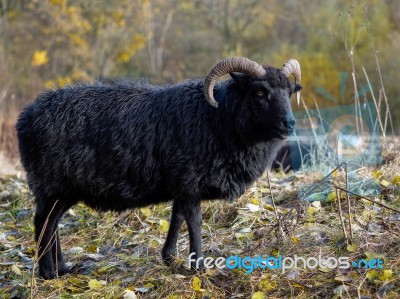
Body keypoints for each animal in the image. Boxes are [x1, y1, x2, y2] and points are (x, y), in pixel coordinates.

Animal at [16, 57, 304, 280]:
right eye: (259, 92)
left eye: (290, 91)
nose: (290, 124)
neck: (217, 118)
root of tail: (25, 117)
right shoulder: (189, 182)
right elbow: (194, 222)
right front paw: (197, 266)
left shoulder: (181, 185)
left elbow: (176, 218)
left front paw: (170, 258)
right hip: (51, 184)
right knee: (43, 223)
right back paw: (48, 273)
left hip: (64, 190)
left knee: (52, 224)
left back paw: (62, 268)